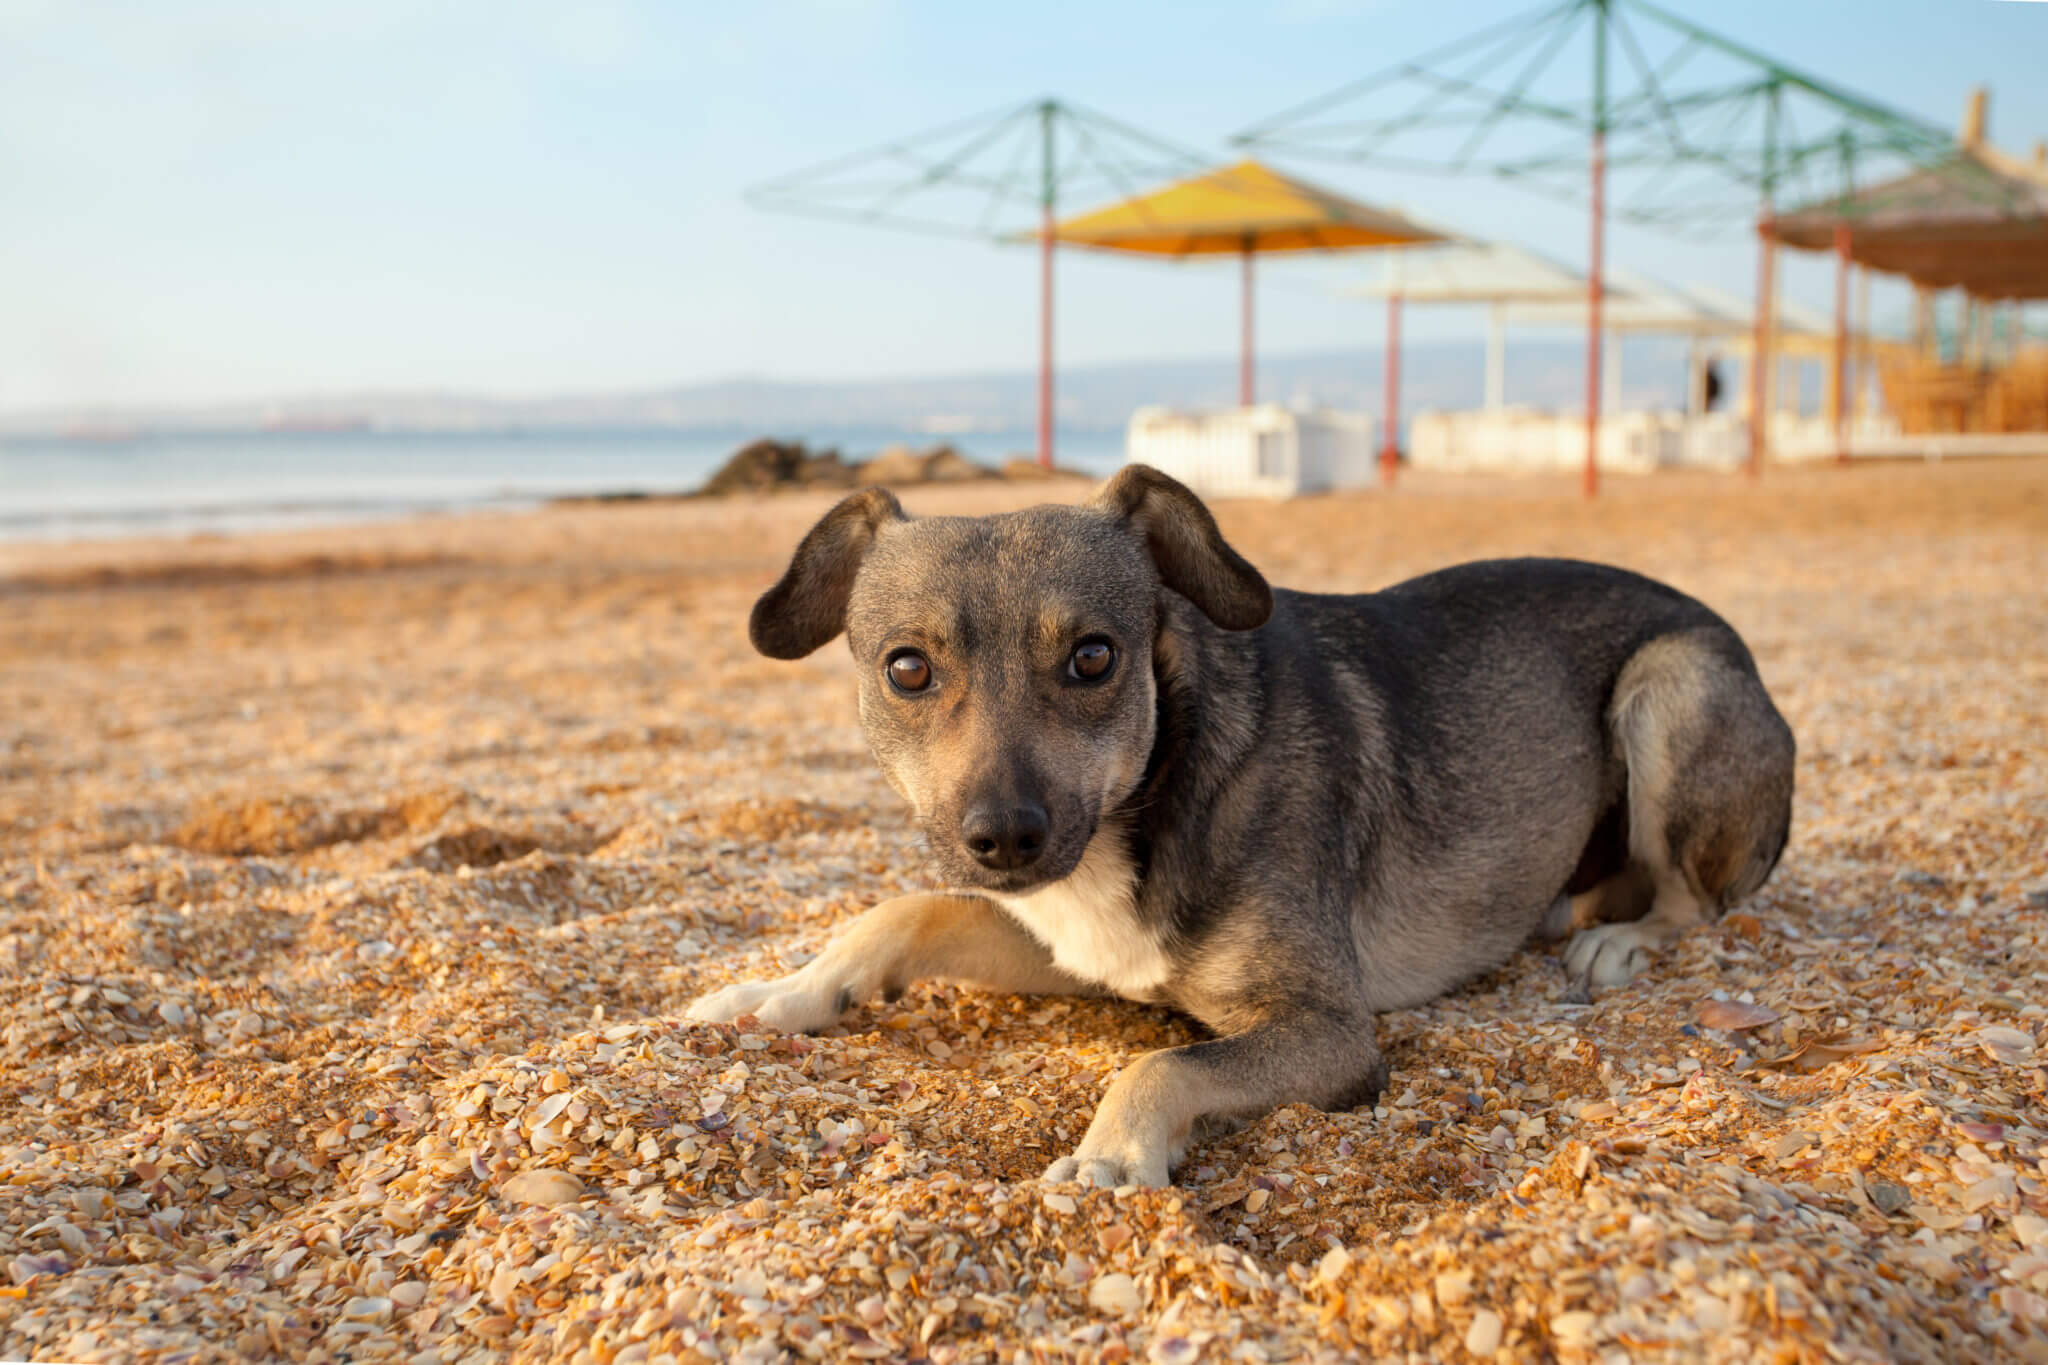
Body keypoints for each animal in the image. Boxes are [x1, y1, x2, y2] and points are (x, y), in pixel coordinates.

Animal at [688, 466, 1794, 1186]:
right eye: (907, 668)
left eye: (1094, 657)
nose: (1003, 838)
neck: (1152, 797)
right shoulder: (1076, 945)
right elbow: (904, 911)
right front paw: (785, 993)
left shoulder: (1330, 1032)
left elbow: (1162, 1063)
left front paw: (1112, 1155)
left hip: (1672, 684)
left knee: (1695, 902)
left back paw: (1620, 940)